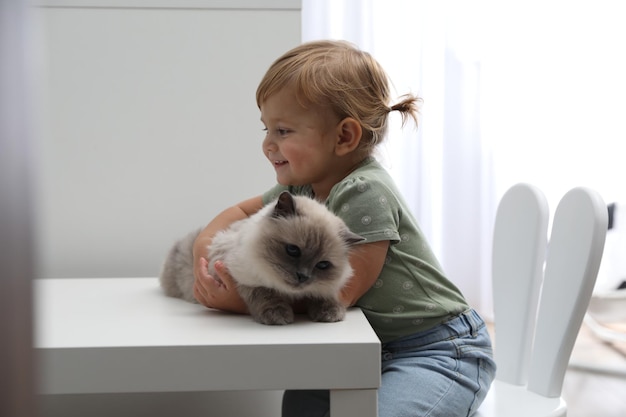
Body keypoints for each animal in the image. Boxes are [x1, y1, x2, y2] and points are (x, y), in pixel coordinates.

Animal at [158, 192, 364, 324]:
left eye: (322, 265)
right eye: (293, 250)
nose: (303, 276)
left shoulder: (324, 288)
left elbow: (324, 295)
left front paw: (330, 313)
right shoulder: (241, 277)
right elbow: (265, 293)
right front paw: (278, 315)